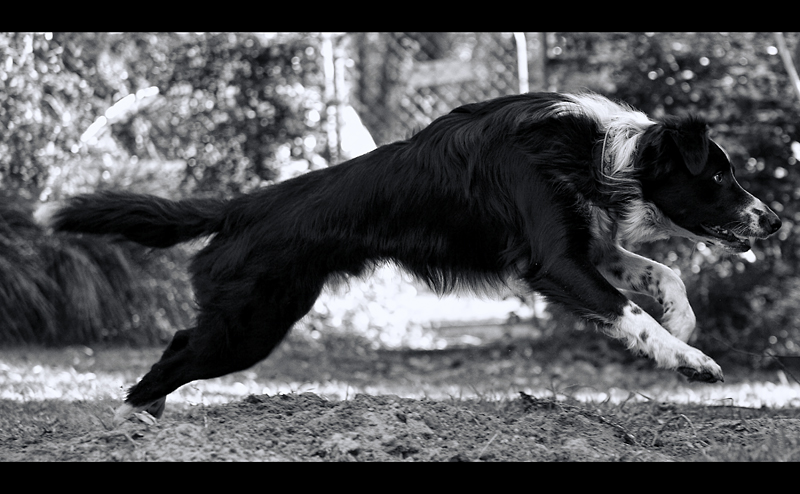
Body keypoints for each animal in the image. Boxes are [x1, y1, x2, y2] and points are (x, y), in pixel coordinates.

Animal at [50, 90, 780, 422]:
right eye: (718, 176)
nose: (773, 220)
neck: (602, 152)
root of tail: (243, 205)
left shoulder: (594, 246)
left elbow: (663, 275)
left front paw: (683, 326)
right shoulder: (555, 261)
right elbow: (629, 312)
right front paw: (689, 360)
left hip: (255, 315)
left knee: (178, 344)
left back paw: (146, 417)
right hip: (250, 323)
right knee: (177, 352)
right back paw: (131, 419)